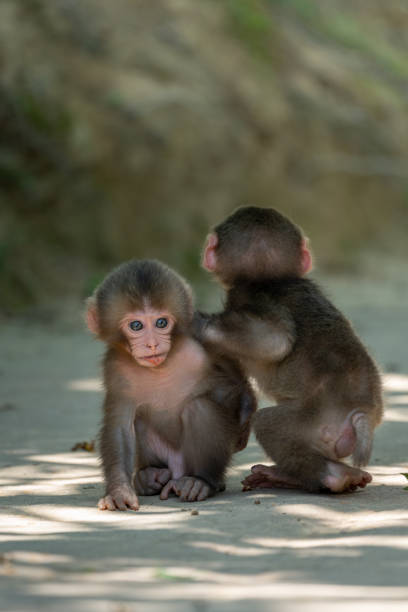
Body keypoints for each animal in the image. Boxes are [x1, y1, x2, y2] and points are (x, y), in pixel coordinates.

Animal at [87, 260, 255, 512]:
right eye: (136, 325)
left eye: (161, 323)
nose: (152, 344)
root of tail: (177, 472)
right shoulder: (115, 368)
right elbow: (120, 427)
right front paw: (118, 491)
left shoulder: (198, 335)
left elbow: (232, 376)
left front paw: (246, 409)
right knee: (140, 421)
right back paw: (148, 477)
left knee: (199, 408)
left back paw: (201, 482)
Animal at [196, 208, 384, 494]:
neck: (274, 279)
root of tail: (361, 412)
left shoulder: (247, 295)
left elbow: (275, 340)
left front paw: (198, 324)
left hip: (318, 422)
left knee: (268, 422)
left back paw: (327, 476)